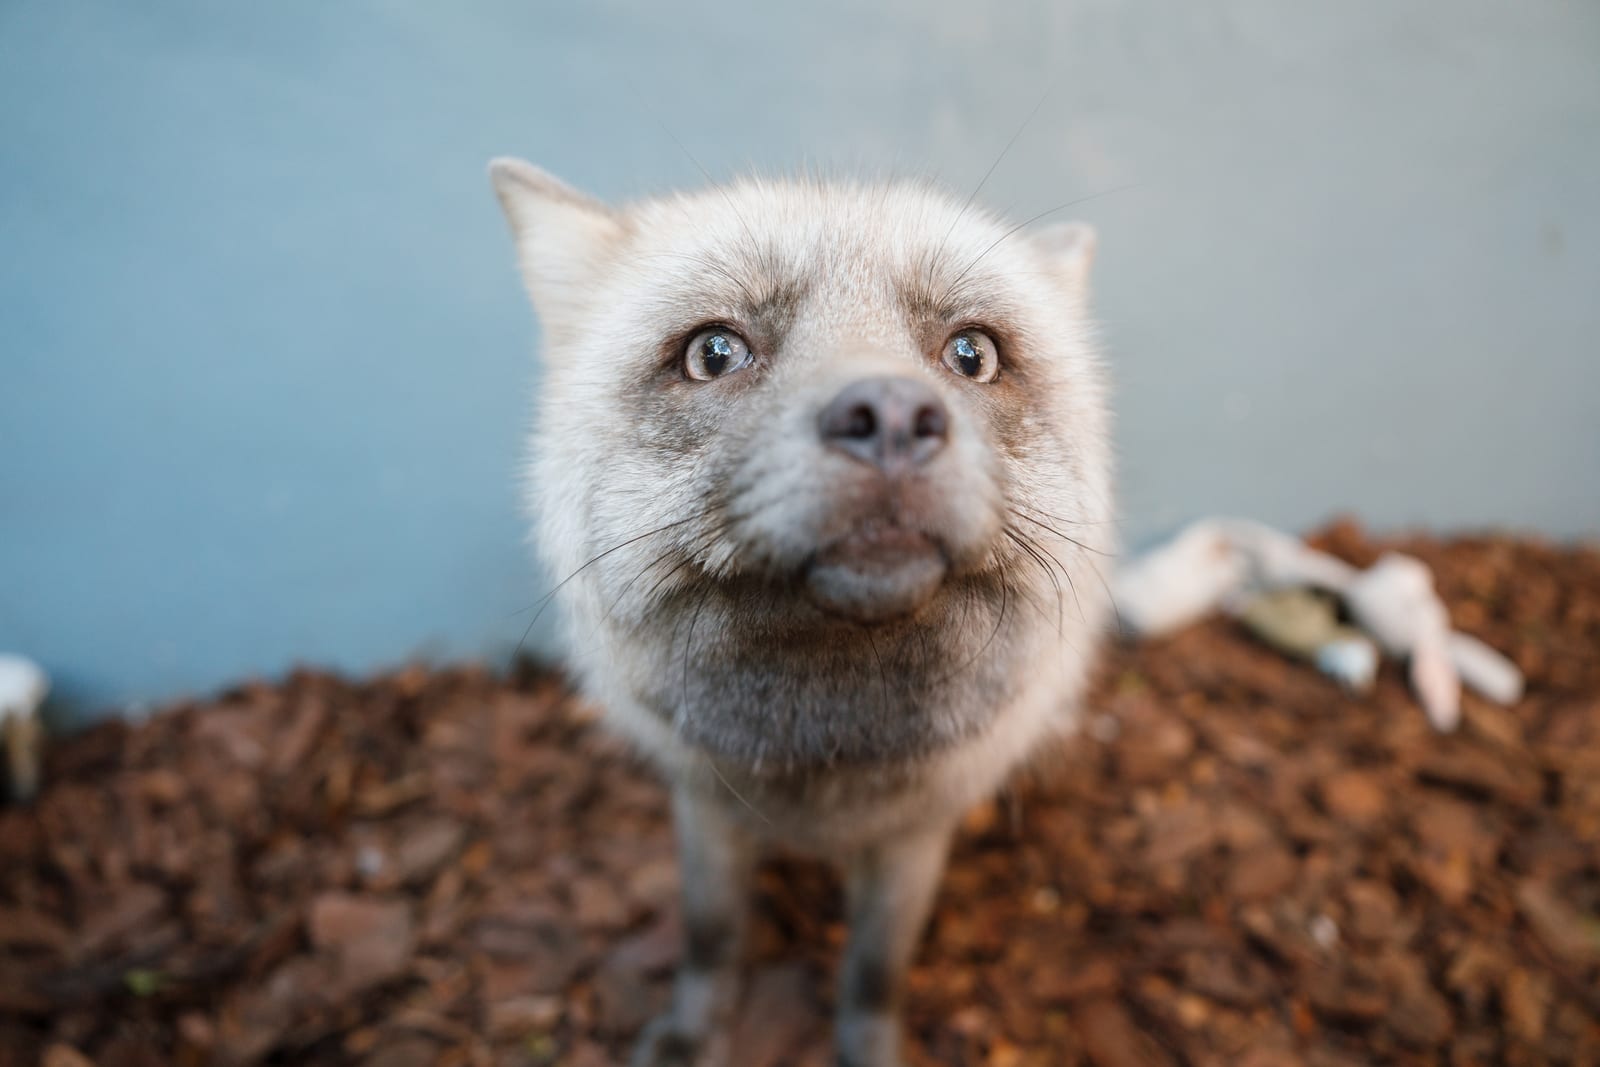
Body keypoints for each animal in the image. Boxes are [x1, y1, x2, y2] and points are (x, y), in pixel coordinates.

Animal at [490, 158, 1114, 1067]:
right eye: (715, 351)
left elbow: (875, 972)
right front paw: (693, 1031)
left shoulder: (913, 842)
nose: (891, 415)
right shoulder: (703, 809)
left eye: (972, 353)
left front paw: (868, 1047)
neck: (818, 769)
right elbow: (711, 936)